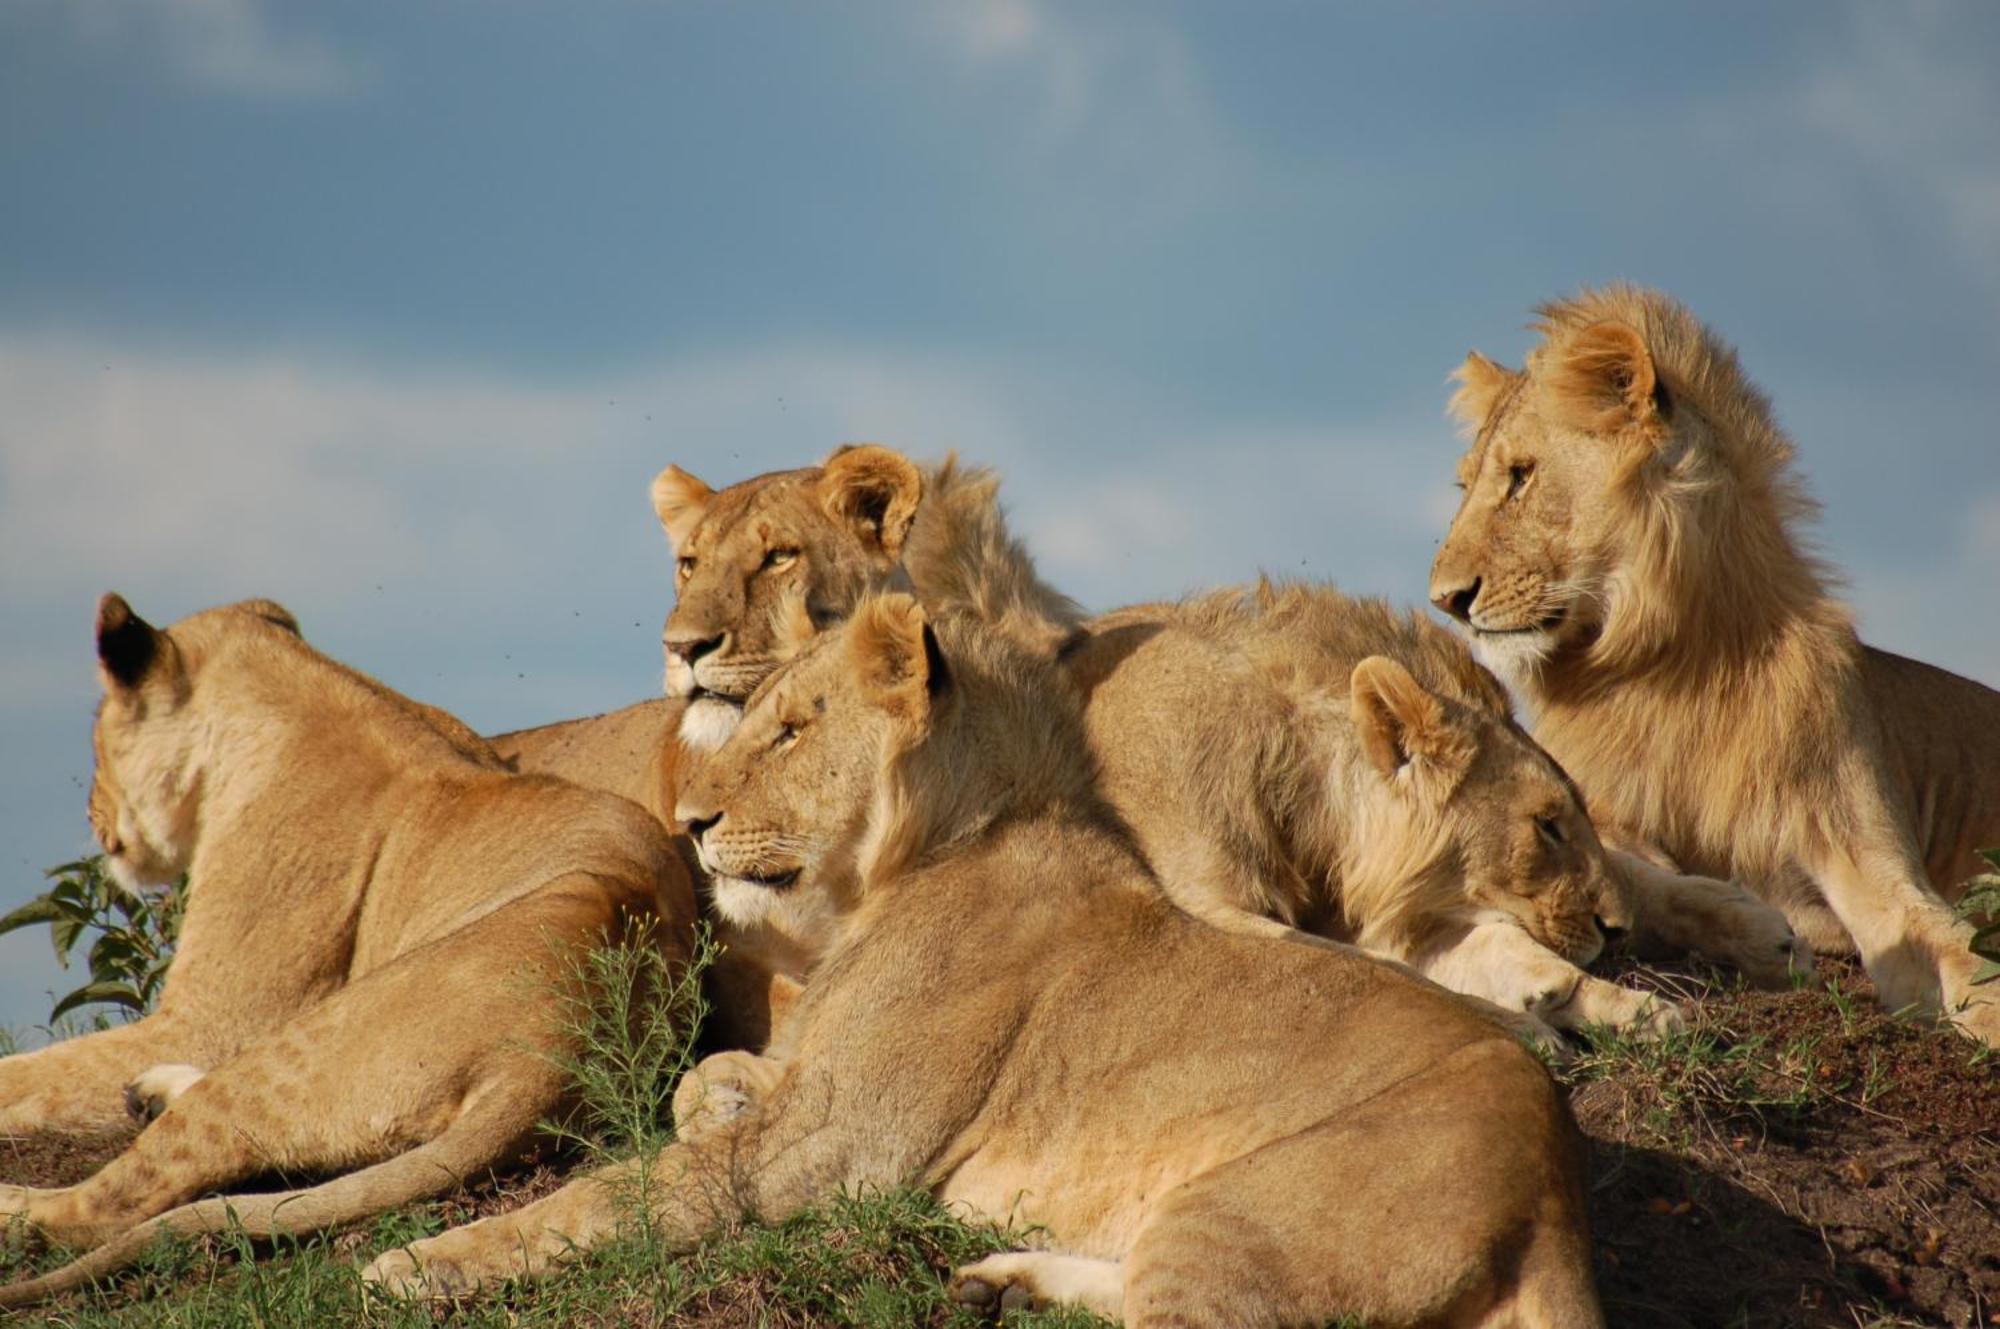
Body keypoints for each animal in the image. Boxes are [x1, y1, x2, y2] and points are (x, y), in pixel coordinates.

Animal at [0, 596, 700, 1304]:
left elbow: (31, 1079)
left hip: (304, 1045)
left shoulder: (209, 1022)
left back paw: (17, 1206)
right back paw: (149, 1096)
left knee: (107, 1204)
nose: (91, 814)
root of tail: (555, 1053)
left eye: (96, 739)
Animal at [364, 592, 1608, 1329]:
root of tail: (1554, 1199)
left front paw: (412, 1267)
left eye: (792, 730)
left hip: (1237, 1218)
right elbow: (701, 1088)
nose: (692, 823)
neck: (897, 873)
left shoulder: (830, 1151)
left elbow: (604, 1199)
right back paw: (994, 1270)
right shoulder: (813, 1087)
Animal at [1432, 288, 2000, 1048]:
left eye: (1521, 476)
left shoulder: (1859, 845)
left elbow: (1947, 941)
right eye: (1466, 485)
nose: (1445, 599)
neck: (1665, 669)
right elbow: (1634, 871)